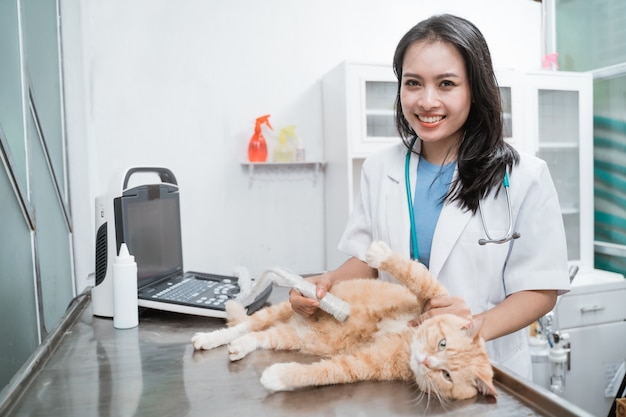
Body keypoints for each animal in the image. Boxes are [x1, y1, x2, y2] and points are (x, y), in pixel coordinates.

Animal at [190, 240, 492, 400]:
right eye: (442, 343)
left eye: (446, 375)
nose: (425, 361)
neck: (407, 339)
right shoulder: (435, 297)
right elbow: (414, 273)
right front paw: (380, 253)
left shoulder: (362, 364)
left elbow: (324, 372)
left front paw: (276, 377)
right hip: (282, 311)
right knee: (247, 324)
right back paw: (209, 338)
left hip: (293, 336)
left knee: (257, 336)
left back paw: (239, 348)